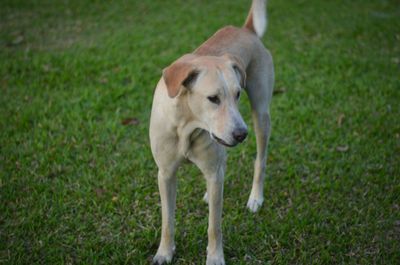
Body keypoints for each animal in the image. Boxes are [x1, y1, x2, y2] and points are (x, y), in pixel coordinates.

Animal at [148, 1, 274, 262]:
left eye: (237, 94)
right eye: (213, 98)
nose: (241, 134)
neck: (186, 126)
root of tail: (246, 29)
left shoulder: (214, 174)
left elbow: (214, 226)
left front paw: (215, 258)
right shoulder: (165, 174)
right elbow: (167, 221)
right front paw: (164, 252)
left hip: (260, 115)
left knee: (260, 160)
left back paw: (256, 197)